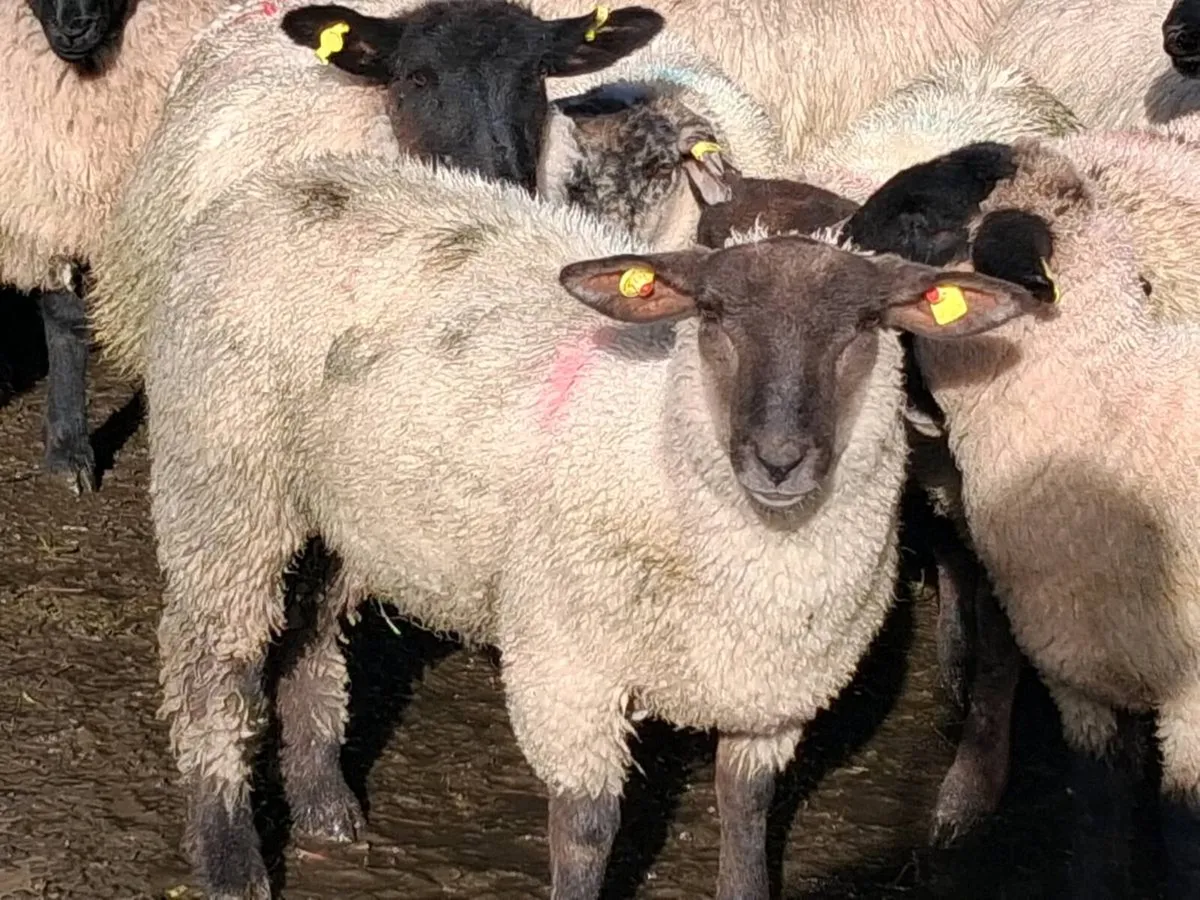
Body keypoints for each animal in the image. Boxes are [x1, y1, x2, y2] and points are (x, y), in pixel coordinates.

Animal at [142, 146, 1043, 899]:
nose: (779, 459)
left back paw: (326, 807)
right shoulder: (568, 670)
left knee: (310, 637)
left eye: (866, 324)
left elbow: (746, 811)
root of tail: (284, 182)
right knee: (212, 669)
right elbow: (586, 831)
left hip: (335, 509)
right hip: (223, 485)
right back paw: (230, 862)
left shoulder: (771, 687)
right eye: (712, 313)